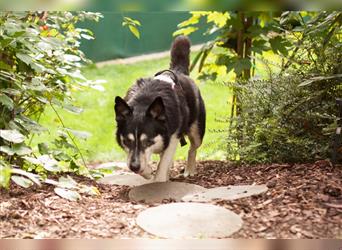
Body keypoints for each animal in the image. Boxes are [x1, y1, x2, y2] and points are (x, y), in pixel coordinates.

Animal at [115, 35, 206, 182]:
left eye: (147, 141)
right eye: (128, 141)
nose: (134, 167)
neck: (143, 102)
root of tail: (178, 71)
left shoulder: (173, 136)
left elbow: (163, 165)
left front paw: (159, 178)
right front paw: (147, 171)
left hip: (196, 131)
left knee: (192, 148)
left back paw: (190, 170)